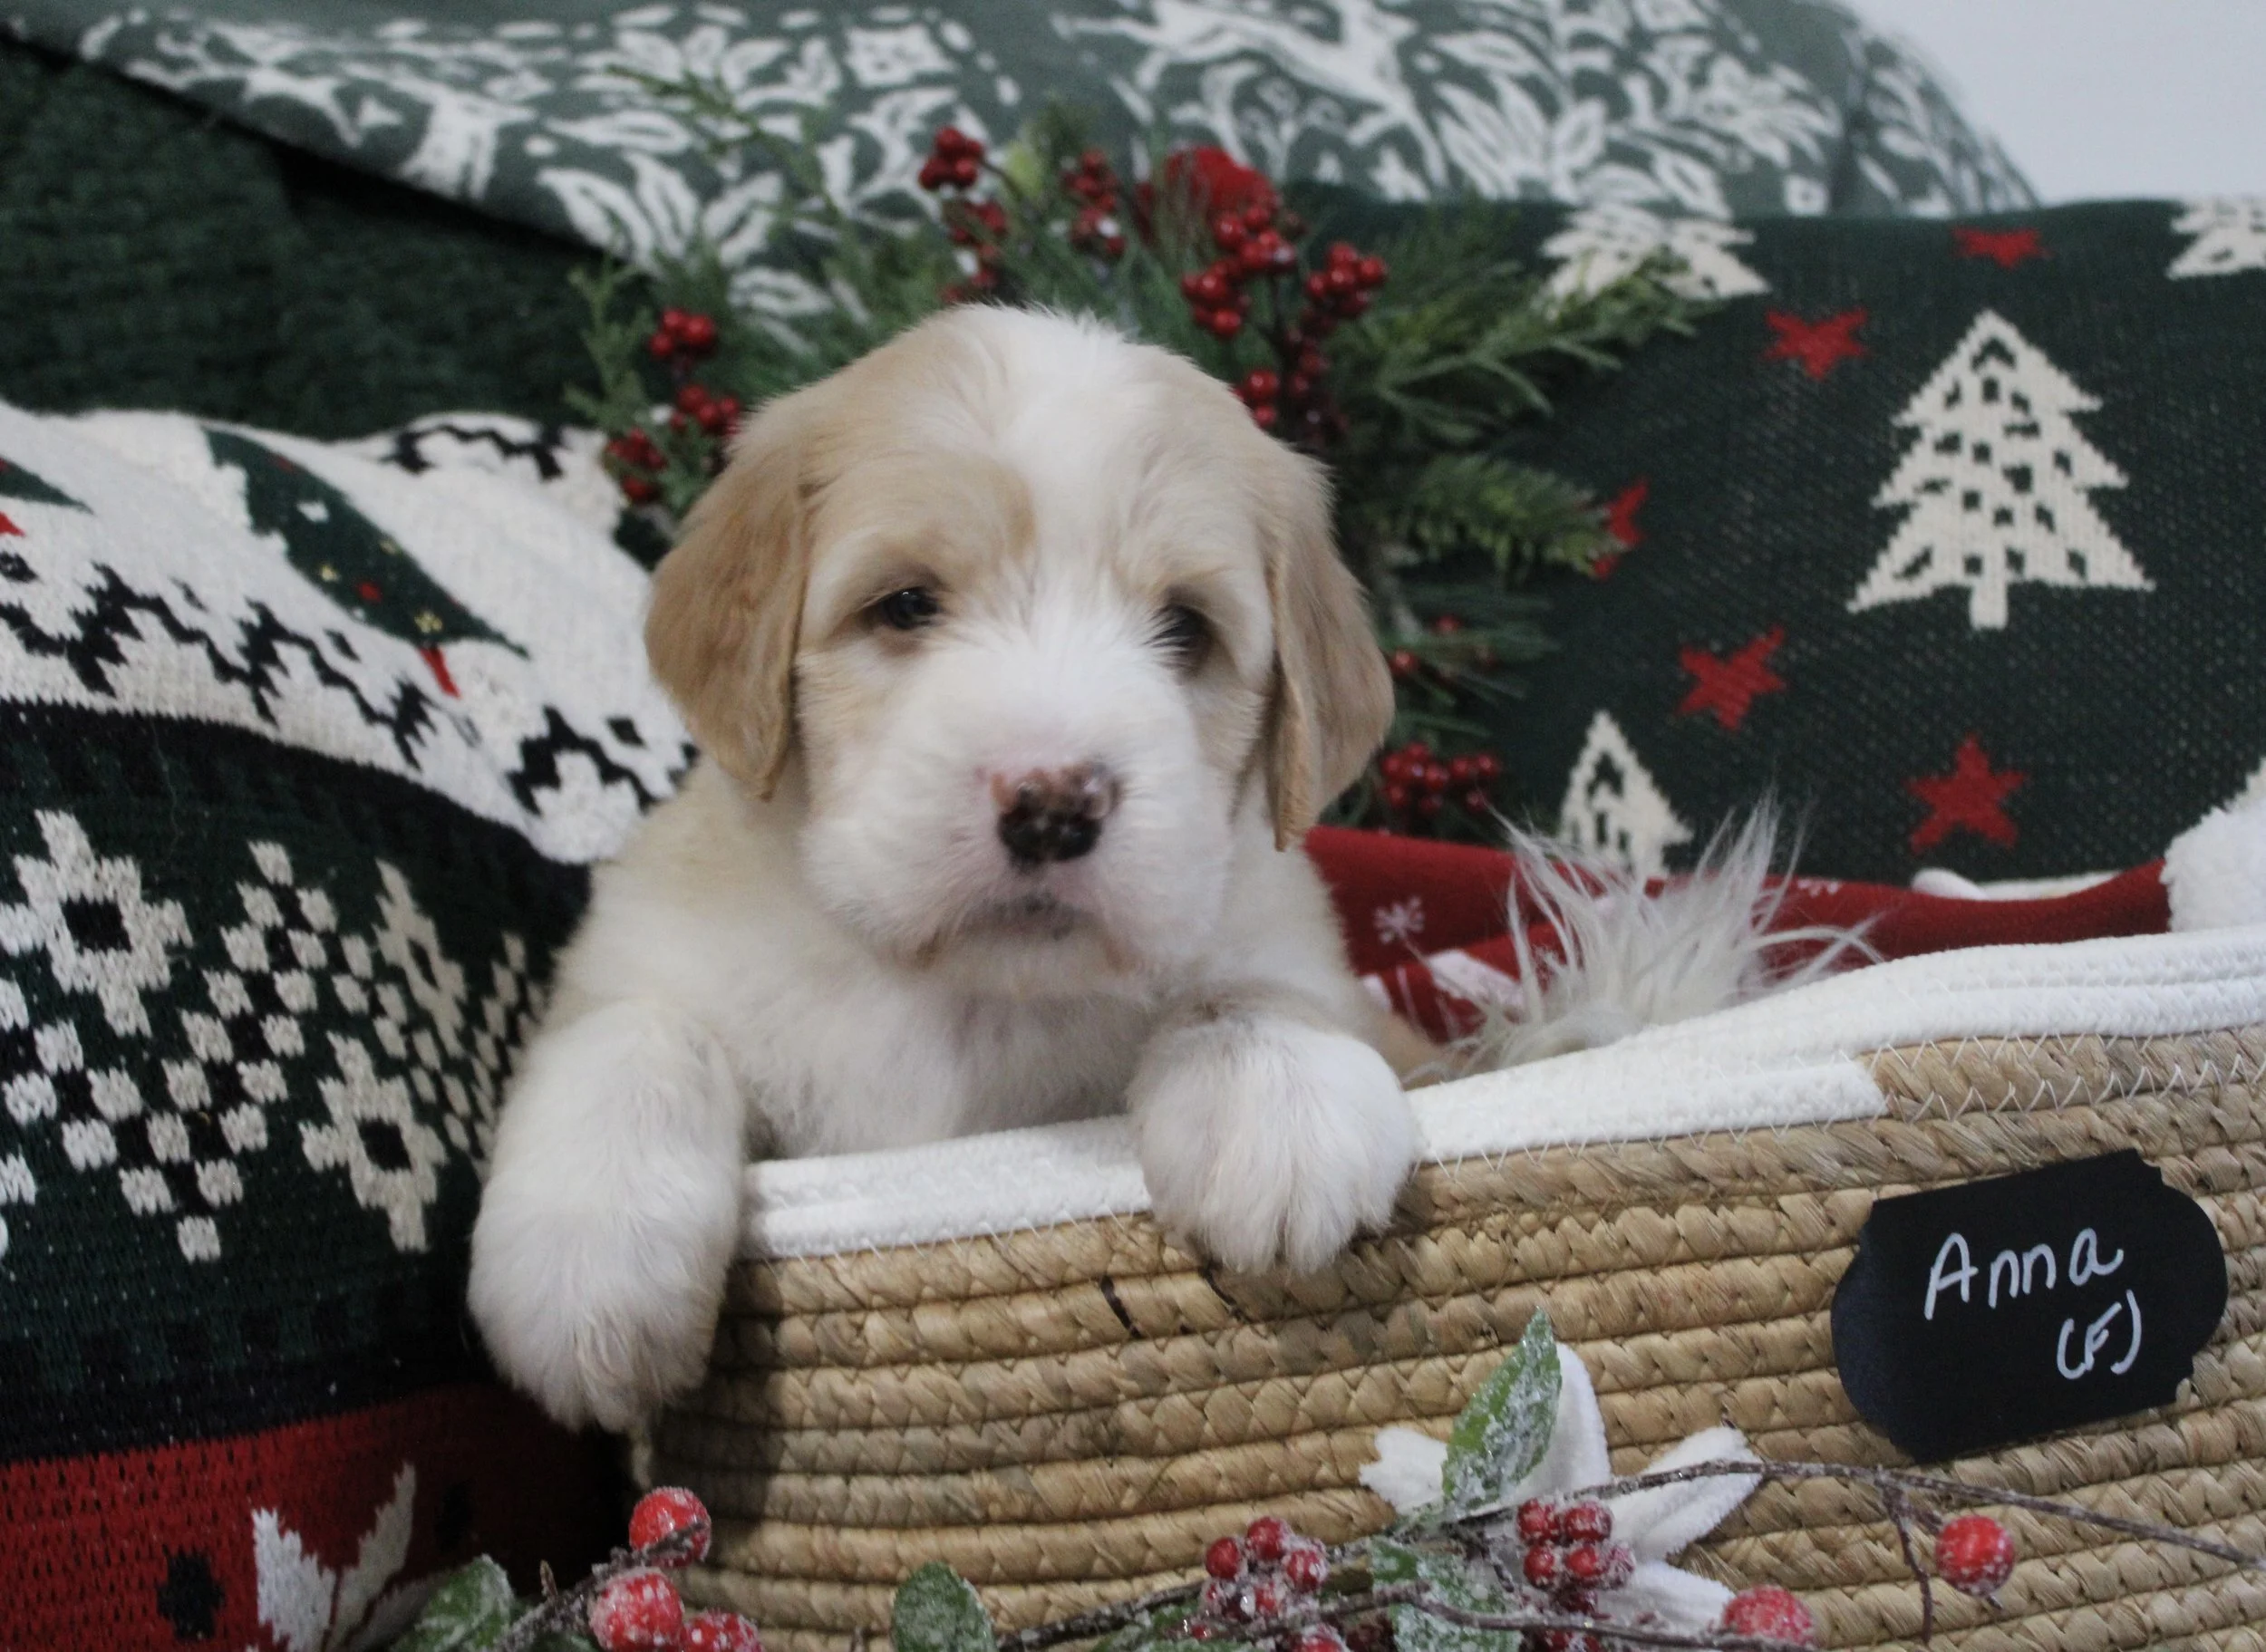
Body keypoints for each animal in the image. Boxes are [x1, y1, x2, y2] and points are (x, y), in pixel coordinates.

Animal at [468, 307, 1427, 1431]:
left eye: (1184, 626)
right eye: (906, 604)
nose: (1054, 806)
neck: (965, 998)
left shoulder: (1288, 942)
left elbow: (1251, 989)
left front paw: (1278, 1103)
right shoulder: (651, 944)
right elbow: (635, 1031)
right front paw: (588, 1262)